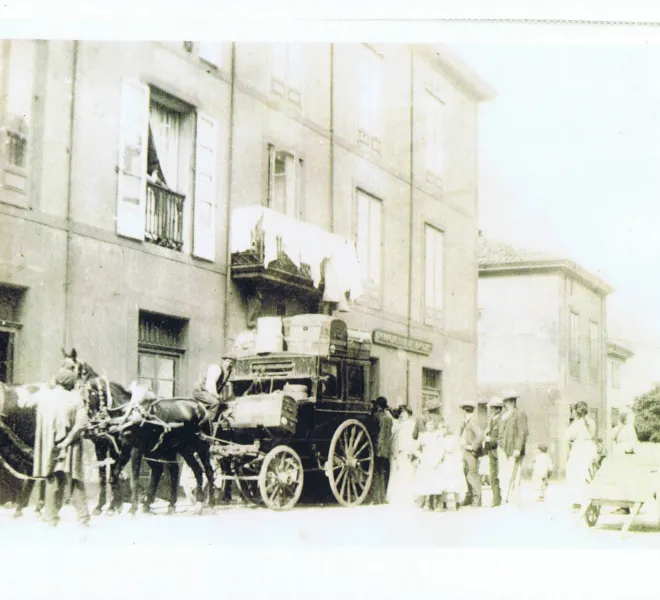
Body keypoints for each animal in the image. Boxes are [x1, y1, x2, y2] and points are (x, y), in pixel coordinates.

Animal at [81, 367, 221, 516]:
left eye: (92, 395)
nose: (91, 429)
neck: (126, 413)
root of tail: (200, 407)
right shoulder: (114, 447)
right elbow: (109, 475)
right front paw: (108, 506)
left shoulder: (134, 448)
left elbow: (133, 477)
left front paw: (131, 508)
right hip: (179, 449)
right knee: (187, 471)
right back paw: (179, 504)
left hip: (202, 447)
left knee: (208, 471)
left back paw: (210, 503)